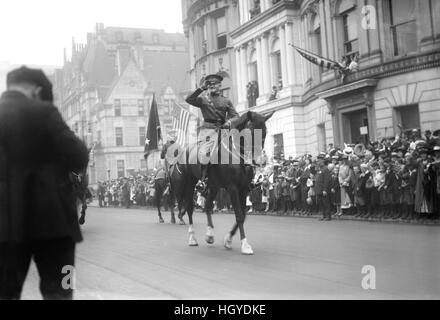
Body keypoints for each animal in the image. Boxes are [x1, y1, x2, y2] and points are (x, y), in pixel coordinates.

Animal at [174, 110, 272, 255]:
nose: (259, 161)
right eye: (250, 131)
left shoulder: (243, 190)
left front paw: (228, 240)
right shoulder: (233, 189)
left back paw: (209, 235)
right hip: (190, 184)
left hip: (214, 186)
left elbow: (243, 215)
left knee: (208, 205)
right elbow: (239, 215)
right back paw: (192, 238)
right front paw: (245, 245)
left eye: (265, 132)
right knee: (190, 208)